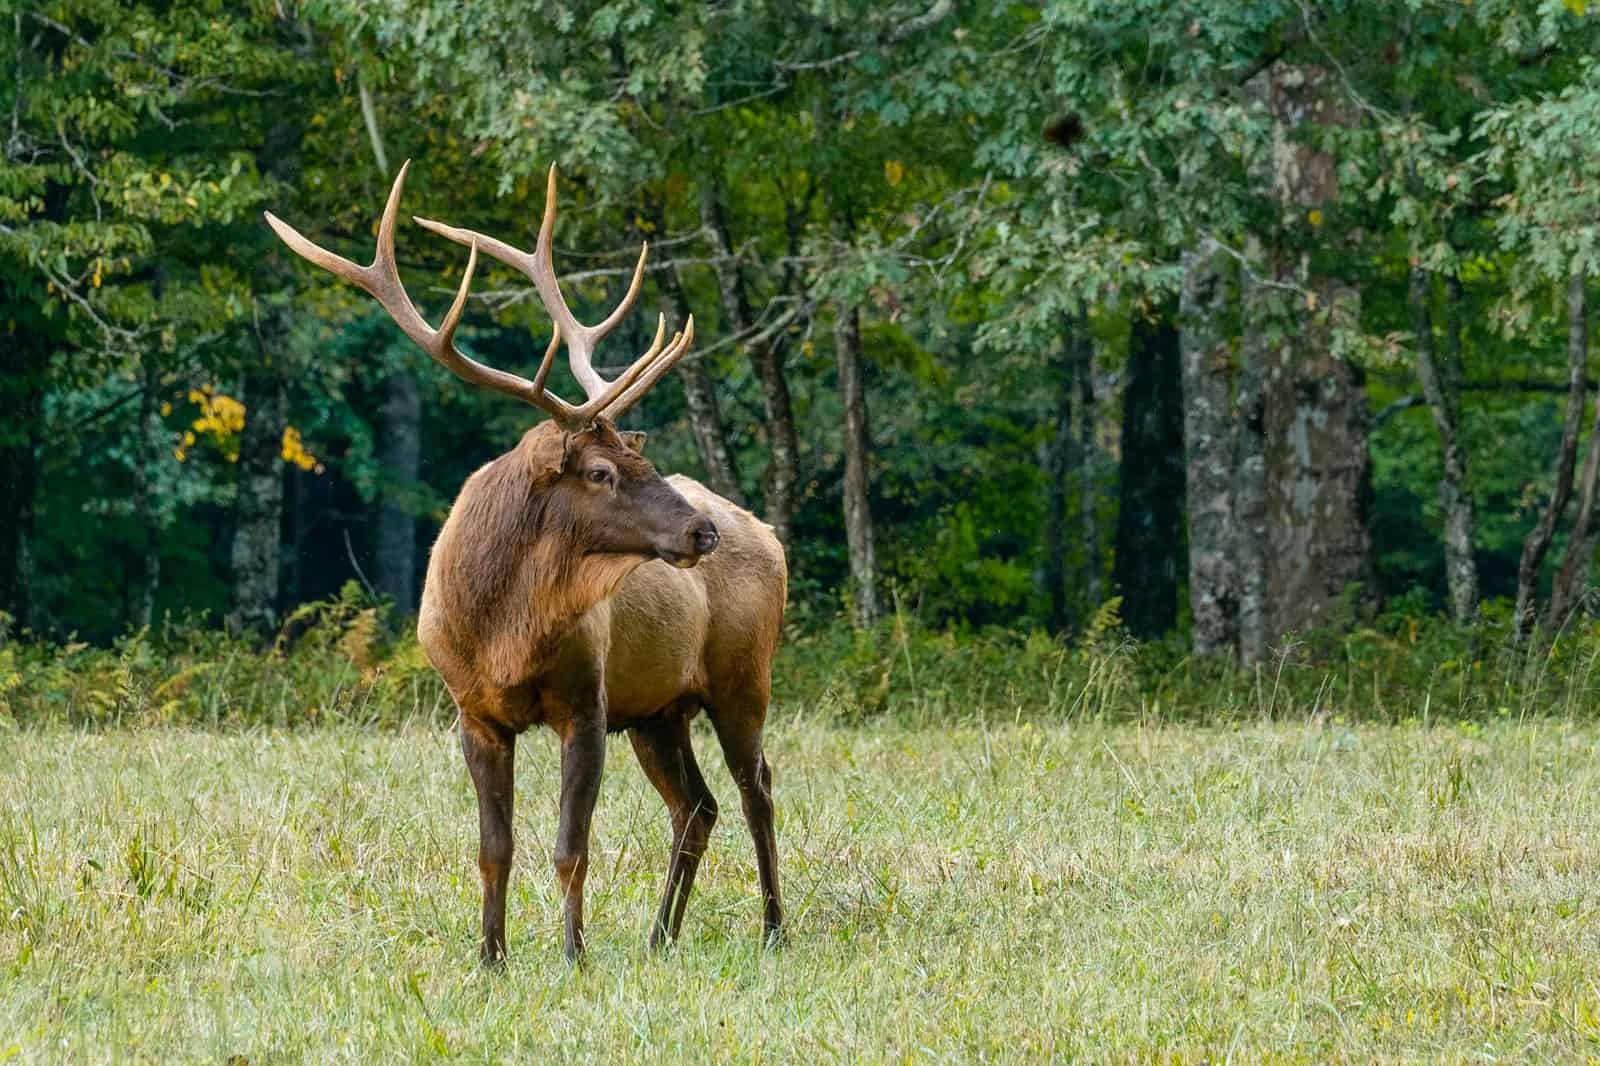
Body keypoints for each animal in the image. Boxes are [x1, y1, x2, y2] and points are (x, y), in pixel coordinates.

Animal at [267, 160, 787, 960]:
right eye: (602, 472)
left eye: (639, 456)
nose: (702, 533)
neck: (503, 632)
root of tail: (770, 534)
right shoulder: (473, 711)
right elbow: (494, 848)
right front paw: (491, 956)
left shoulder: (587, 703)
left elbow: (571, 846)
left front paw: (573, 954)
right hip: (659, 709)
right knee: (697, 807)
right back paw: (659, 937)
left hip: (741, 677)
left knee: (756, 789)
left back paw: (772, 928)